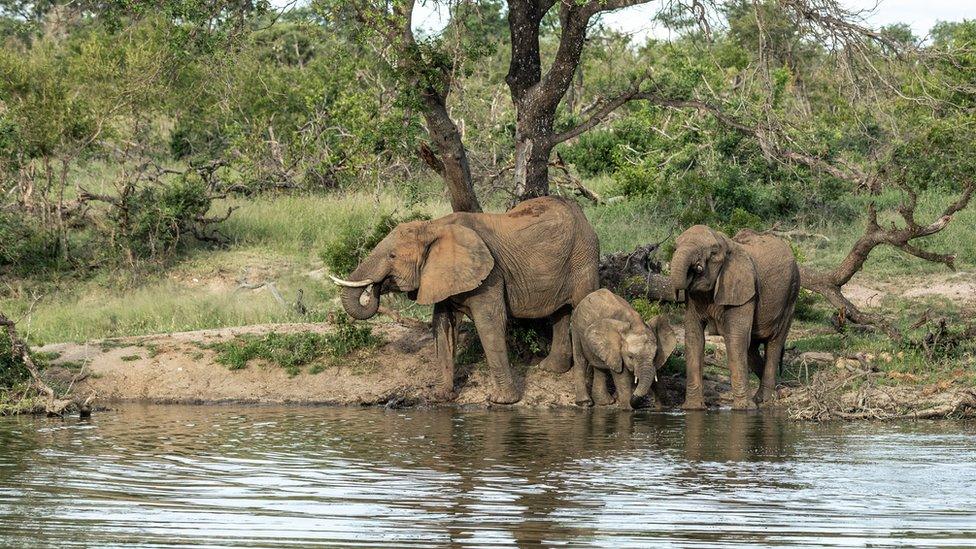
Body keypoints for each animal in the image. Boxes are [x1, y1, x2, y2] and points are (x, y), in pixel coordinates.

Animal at [332, 197, 600, 402]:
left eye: (392, 256)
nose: (376, 287)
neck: (433, 226)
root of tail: (582, 214)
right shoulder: (443, 274)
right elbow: (443, 325)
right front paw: (441, 397)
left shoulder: (491, 274)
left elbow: (489, 323)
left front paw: (502, 401)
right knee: (560, 312)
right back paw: (550, 369)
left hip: (584, 257)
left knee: (581, 306)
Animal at [672, 225, 800, 408]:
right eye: (674, 248)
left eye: (713, 253)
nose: (695, 267)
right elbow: (694, 337)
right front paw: (693, 408)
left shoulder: (743, 291)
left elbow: (735, 339)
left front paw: (744, 409)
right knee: (752, 349)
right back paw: (780, 392)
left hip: (791, 296)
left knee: (774, 343)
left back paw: (764, 399)